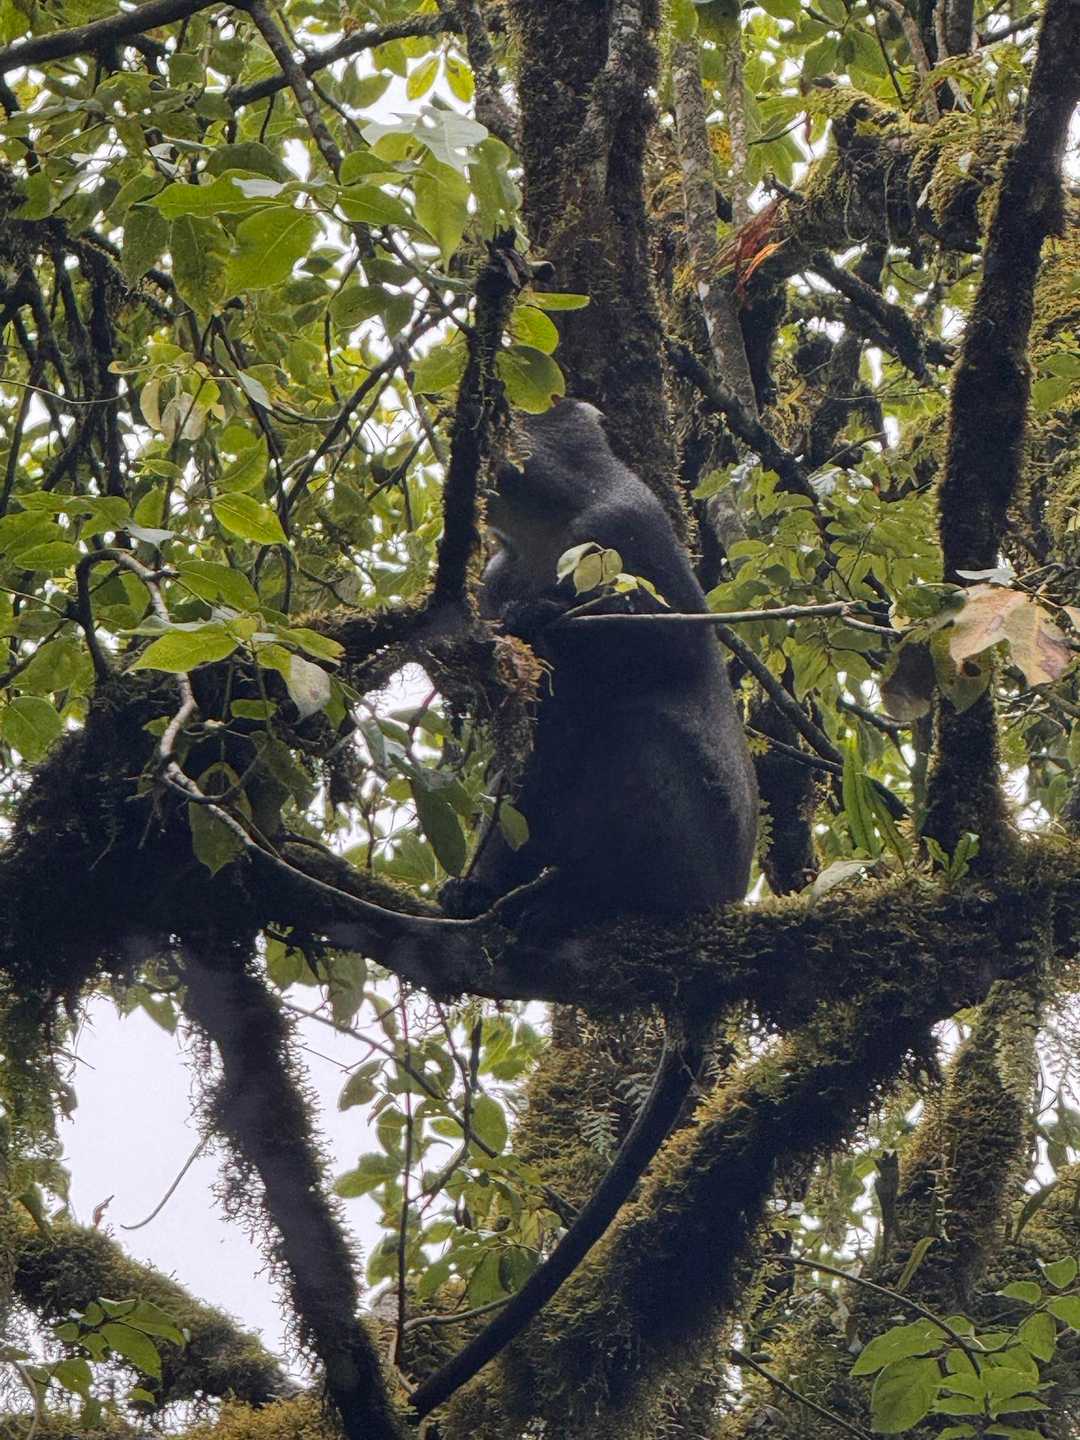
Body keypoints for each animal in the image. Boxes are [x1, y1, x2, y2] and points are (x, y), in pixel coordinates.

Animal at [441, 399, 758, 923]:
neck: (542, 529)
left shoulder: (623, 527)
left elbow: (671, 650)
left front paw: (538, 615)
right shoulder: (497, 577)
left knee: (640, 728)